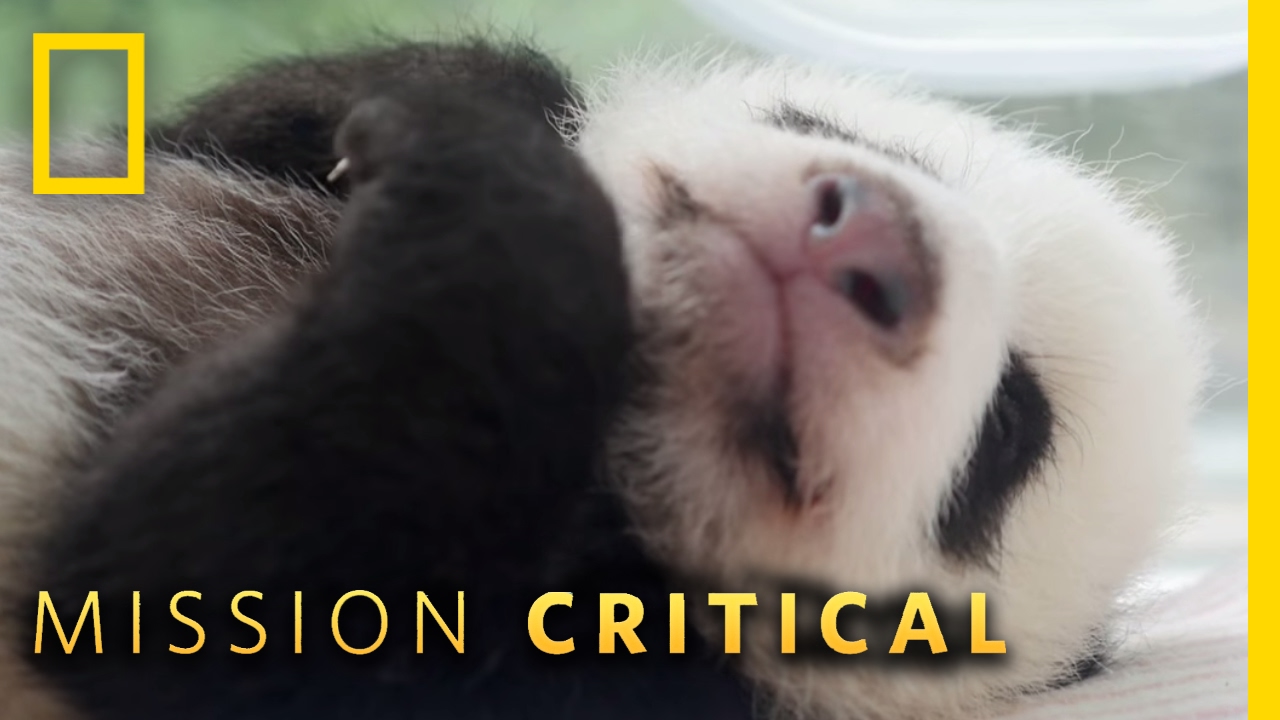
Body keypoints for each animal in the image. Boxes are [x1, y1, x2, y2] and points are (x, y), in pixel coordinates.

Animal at [0, 38, 1206, 720]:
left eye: (1010, 425)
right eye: (828, 128)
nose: (867, 236)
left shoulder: (609, 668)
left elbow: (186, 586)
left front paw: (497, 191)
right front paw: (441, 101)